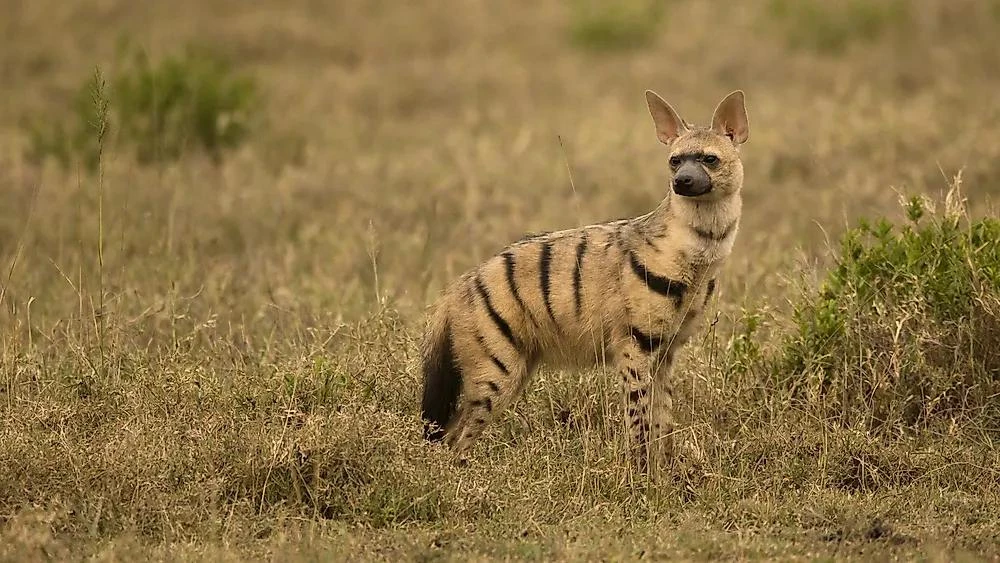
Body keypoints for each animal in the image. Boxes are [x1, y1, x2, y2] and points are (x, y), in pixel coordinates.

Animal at [420, 89, 749, 471]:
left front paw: (666, 473)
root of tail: (457, 288)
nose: (681, 181)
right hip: (496, 372)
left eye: (709, 159)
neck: (698, 256)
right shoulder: (633, 346)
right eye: (674, 161)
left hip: (514, 369)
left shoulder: (666, 349)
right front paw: (641, 476)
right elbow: (639, 422)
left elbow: (663, 421)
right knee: (455, 438)